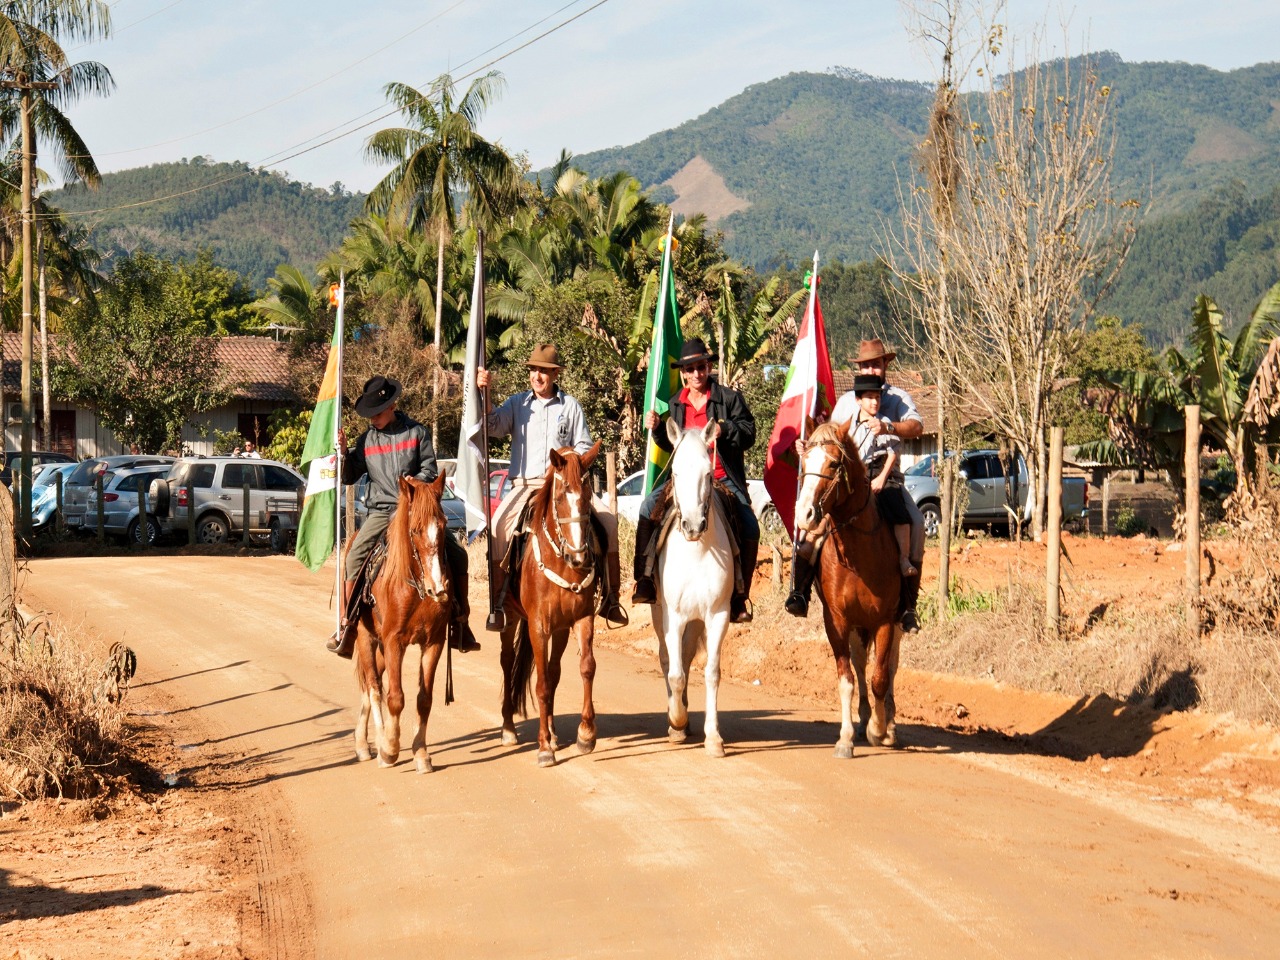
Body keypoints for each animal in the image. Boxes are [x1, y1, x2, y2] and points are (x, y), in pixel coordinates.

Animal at [355, 473, 455, 773]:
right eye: (415, 530)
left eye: (443, 525)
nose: (439, 588)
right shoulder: (393, 642)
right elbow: (395, 697)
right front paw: (390, 748)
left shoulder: (433, 643)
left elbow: (424, 700)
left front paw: (421, 753)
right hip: (366, 638)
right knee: (373, 687)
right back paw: (372, 743)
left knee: (370, 684)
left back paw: (364, 743)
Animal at [496, 442, 601, 768]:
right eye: (560, 495)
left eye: (588, 494)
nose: (580, 557)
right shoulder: (538, 625)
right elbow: (540, 683)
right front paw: (543, 748)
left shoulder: (581, 619)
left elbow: (585, 668)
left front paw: (586, 734)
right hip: (510, 618)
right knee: (507, 662)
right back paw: (509, 729)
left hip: (561, 629)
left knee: (554, 672)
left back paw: (554, 732)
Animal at [793, 419, 906, 757]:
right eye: (805, 461)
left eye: (833, 463)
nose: (804, 515)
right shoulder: (837, 621)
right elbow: (847, 678)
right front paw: (846, 737)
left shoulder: (884, 621)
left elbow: (881, 677)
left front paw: (880, 730)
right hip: (857, 626)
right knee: (859, 664)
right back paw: (865, 717)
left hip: (893, 624)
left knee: (890, 667)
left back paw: (887, 723)